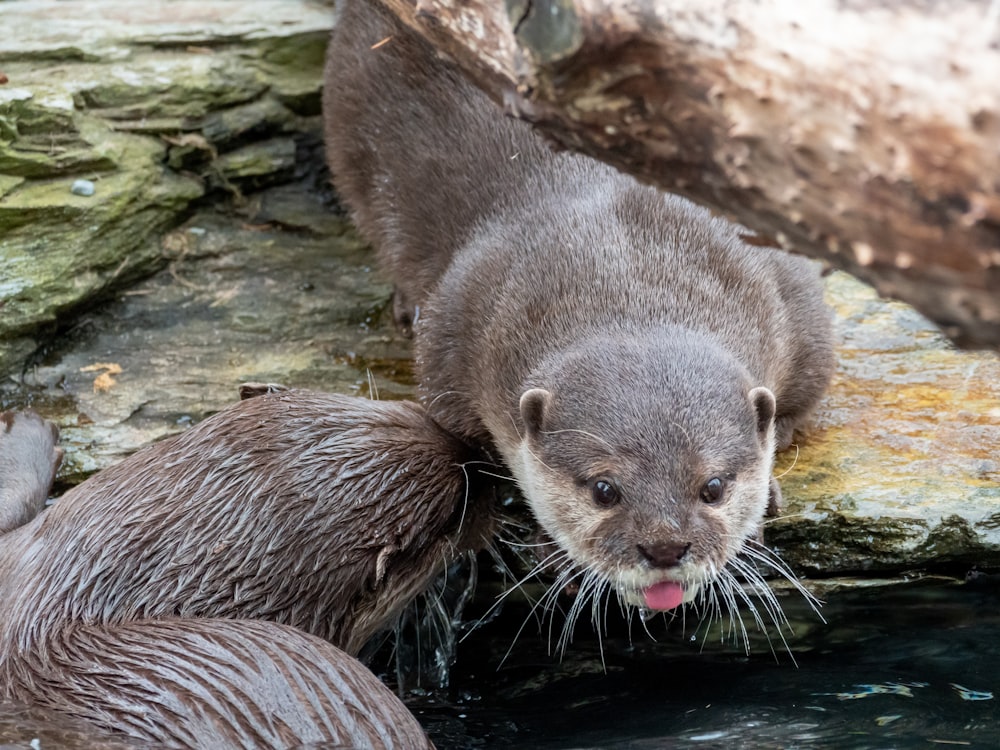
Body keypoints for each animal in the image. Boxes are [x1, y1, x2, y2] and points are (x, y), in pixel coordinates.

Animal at [324, 0, 832, 620]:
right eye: (603, 489)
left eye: (712, 486)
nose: (665, 547)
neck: (623, 259)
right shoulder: (453, 335)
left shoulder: (791, 293)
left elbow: (798, 404)